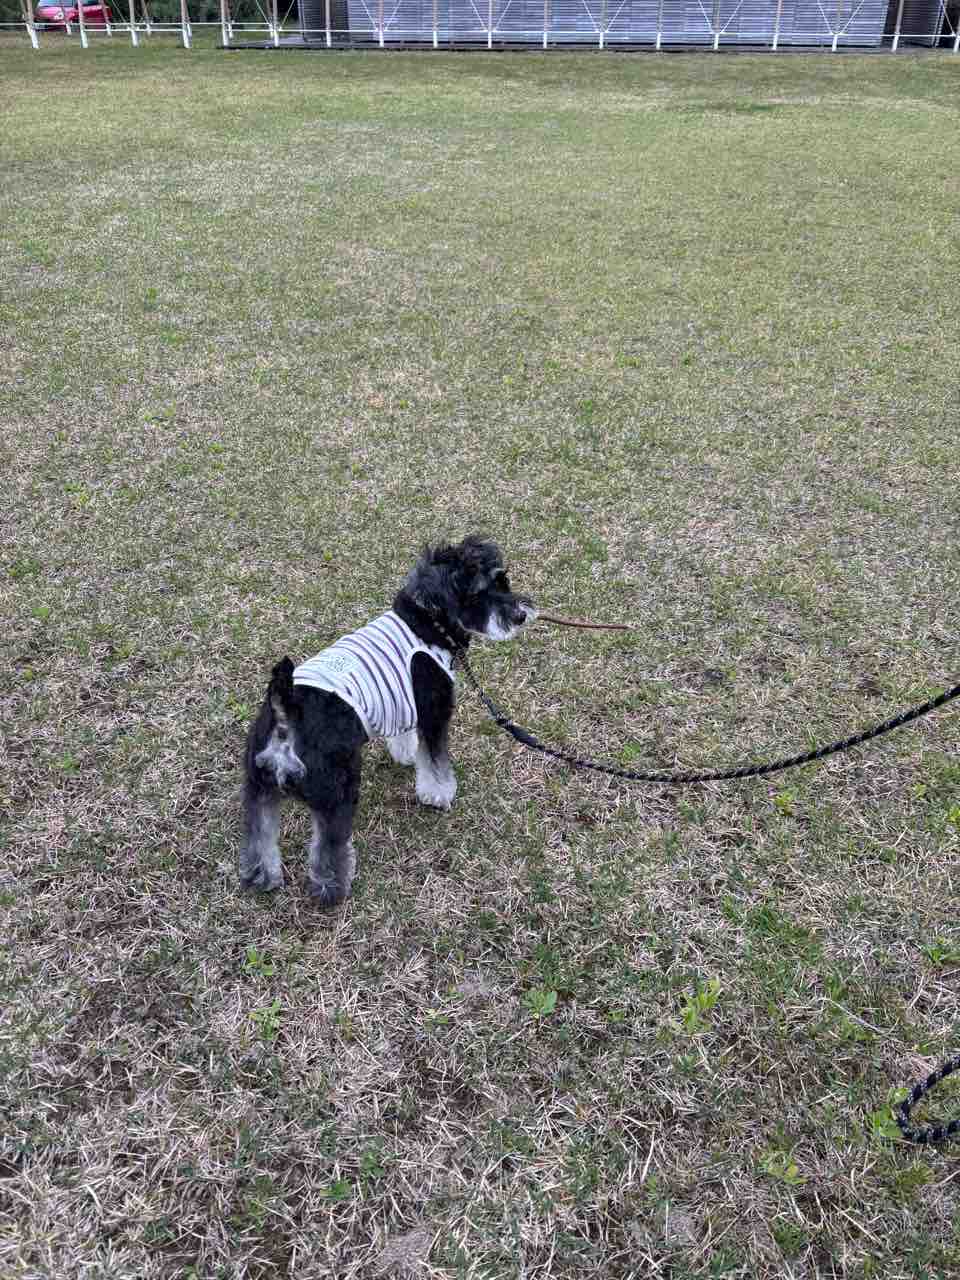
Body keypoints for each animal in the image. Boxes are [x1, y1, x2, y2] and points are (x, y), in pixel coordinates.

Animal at [240, 536, 536, 904]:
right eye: (479, 594)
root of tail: (286, 714)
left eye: (503, 581)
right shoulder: (434, 712)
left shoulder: (404, 701)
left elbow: (406, 737)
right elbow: (435, 762)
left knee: (259, 835)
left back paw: (261, 877)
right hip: (338, 791)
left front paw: (406, 756)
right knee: (328, 848)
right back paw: (333, 890)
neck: (428, 623)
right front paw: (439, 795)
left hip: (259, 788)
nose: (521, 615)